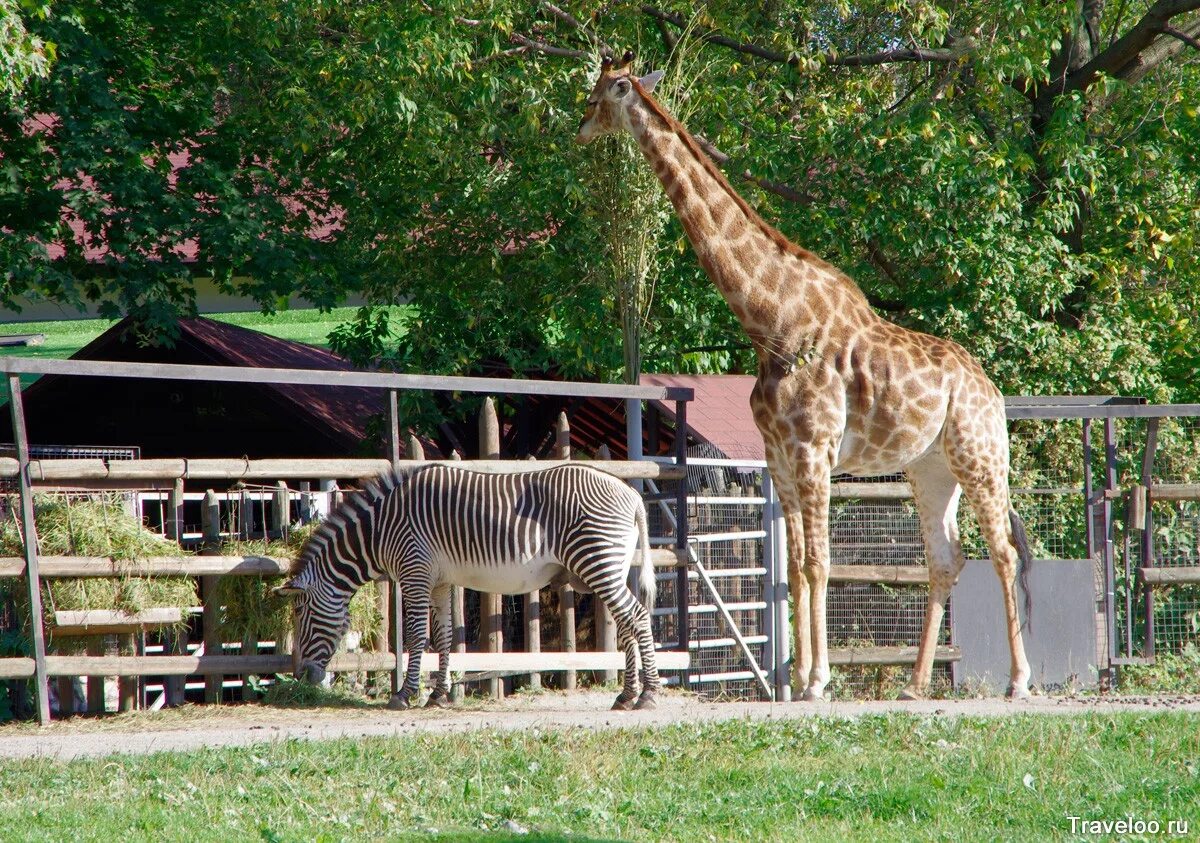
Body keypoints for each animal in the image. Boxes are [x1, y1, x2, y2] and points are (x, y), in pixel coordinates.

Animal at [274, 461, 667, 710]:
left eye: (301, 613)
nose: (301, 677)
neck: (380, 530)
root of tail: (632, 495)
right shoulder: (438, 581)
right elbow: (444, 635)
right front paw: (438, 695)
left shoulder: (414, 573)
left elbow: (417, 636)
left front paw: (404, 695)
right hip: (612, 567)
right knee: (627, 623)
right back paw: (626, 696)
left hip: (597, 561)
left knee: (636, 616)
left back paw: (647, 695)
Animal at [576, 51, 1036, 701]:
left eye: (602, 94)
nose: (579, 129)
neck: (769, 321)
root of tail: (992, 390)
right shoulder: (779, 456)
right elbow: (793, 567)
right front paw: (794, 680)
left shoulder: (814, 448)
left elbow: (818, 562)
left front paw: (817, 680)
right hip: (930, 467)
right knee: (946, 558)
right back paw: (914, 685)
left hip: (980, 454)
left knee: (1003, 552)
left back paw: (1019, 681)